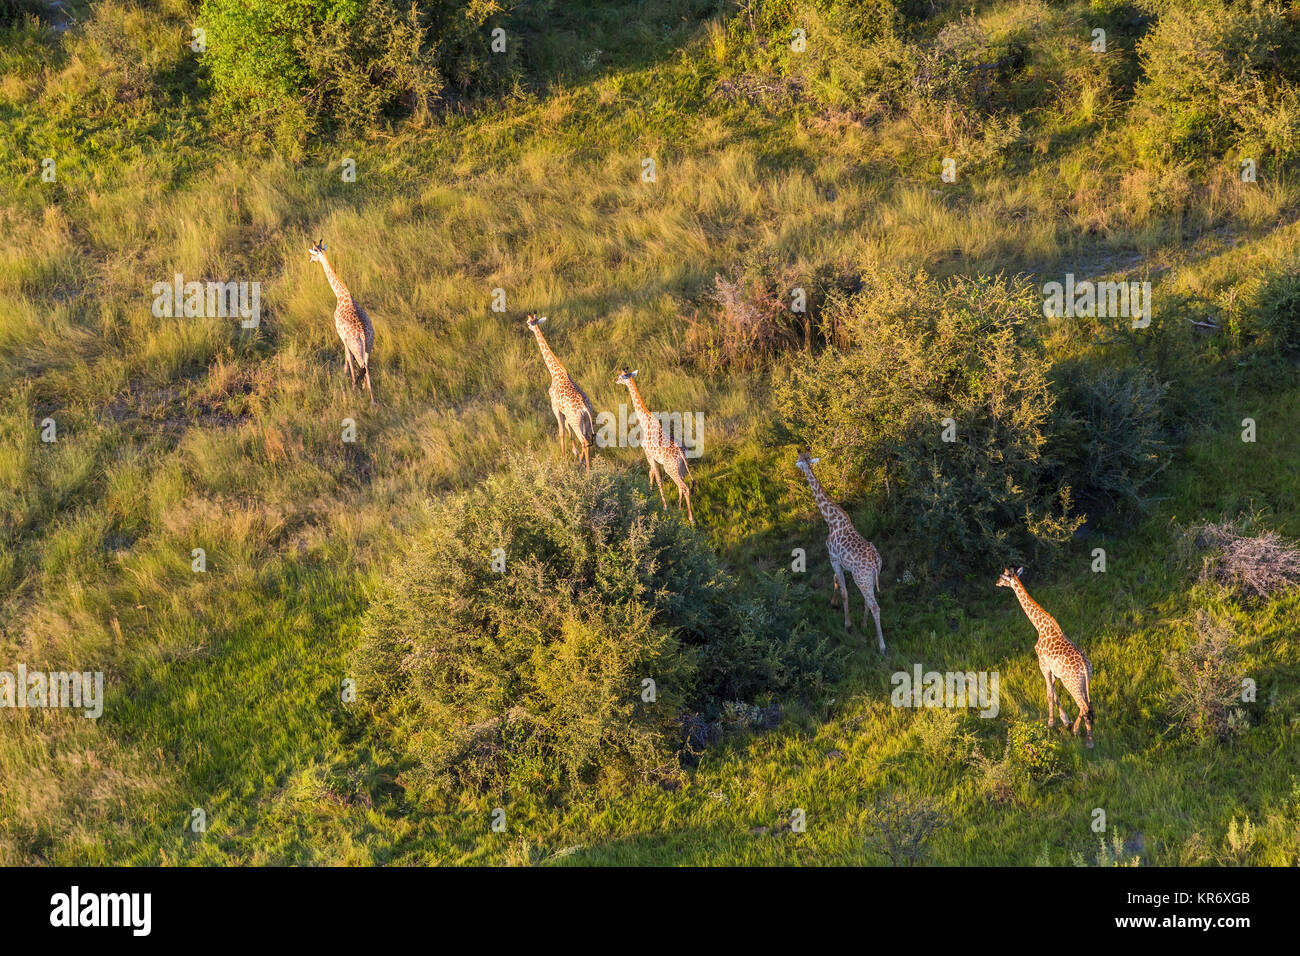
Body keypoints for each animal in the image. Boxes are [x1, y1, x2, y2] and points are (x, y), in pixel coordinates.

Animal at [308, 239, 375, 406]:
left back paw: (358, 388)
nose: (310, 260)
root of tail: (363, 335)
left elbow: (347, 357)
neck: (342, 295)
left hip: (357, 347)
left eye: (313, 252)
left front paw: (348, 378)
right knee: (366, 365)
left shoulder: (341, 335)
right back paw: (370, 396)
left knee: (361, 364)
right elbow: (348, 357)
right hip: (369, 346)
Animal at [526, 314, 596, 469]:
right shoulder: (565, 412)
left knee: (584, 441)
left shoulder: (555, 408)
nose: (528, 327)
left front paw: (563, 459)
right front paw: (574, 453)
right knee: (587, 439)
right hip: (587, 421)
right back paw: (581, 462)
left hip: (577, 421)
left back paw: (587, 468)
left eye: (528, 322)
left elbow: (561, 432)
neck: (556, 373)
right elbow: (568, 431)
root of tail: (584, 408)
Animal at [614, 368, 694, 524]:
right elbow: (652, 474)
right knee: (680, 487)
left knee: (685, 488)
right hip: (681, 468)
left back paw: (691, 519)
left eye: (621, 376)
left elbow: (658, 480)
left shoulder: (648, 454)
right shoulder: (652, 457)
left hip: (671, 469)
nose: (615, 380)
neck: (645, 422)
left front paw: (664, 507)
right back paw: (679, 509)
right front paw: (649, 494)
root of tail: (682, 453)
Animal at [794, 449, 884, 651]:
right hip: (867, 579)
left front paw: (847, 624)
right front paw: (833, 603)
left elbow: (844, 591)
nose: (796, 465)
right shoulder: (839, 561)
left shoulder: (833, 558)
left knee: (875, 606)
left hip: (862, 579)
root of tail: (876, 562)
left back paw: (882, 646)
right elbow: (836, 580)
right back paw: (864, 625)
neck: (831, 520)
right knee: (869, 601)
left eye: (799, 460)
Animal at [996, 567, 1094, 747]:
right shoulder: (1053, 671)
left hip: (1072, 682)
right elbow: (1054, 694)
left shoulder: (1043, 665)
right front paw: (1065, 721)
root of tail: (1085, 665)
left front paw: (1051, 723)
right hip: (1085, 681)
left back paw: (1086, 738)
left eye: (1002, 576)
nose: (996, 582)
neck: (1040, 627)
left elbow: (1049, 694)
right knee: (1087, 704)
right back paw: (1080, 730)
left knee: (1083, 705)